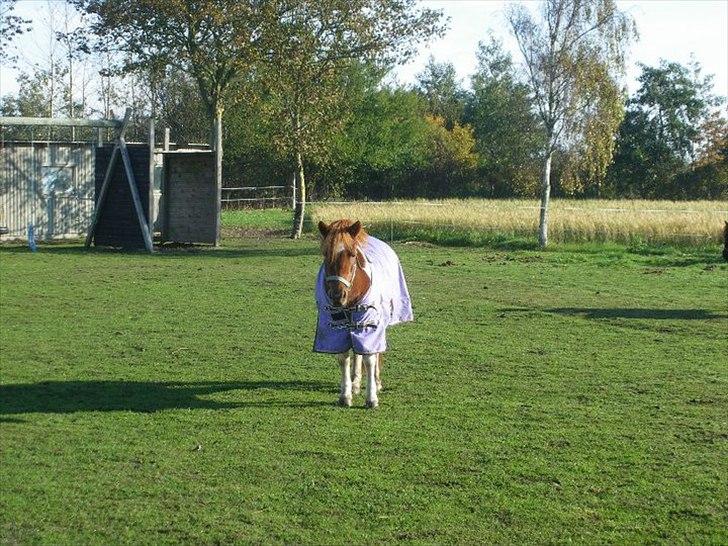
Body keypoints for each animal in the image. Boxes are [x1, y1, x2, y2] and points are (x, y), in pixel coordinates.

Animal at [314, 219, 412, 406]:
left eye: (352, 254)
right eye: (325, 254)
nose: (337, 296)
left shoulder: (369, 324)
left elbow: (369, 357)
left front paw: (371, 398)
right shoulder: (335, 327)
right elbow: (344, 357)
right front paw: (345, 395)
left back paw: (376, 382)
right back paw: (355, 382)